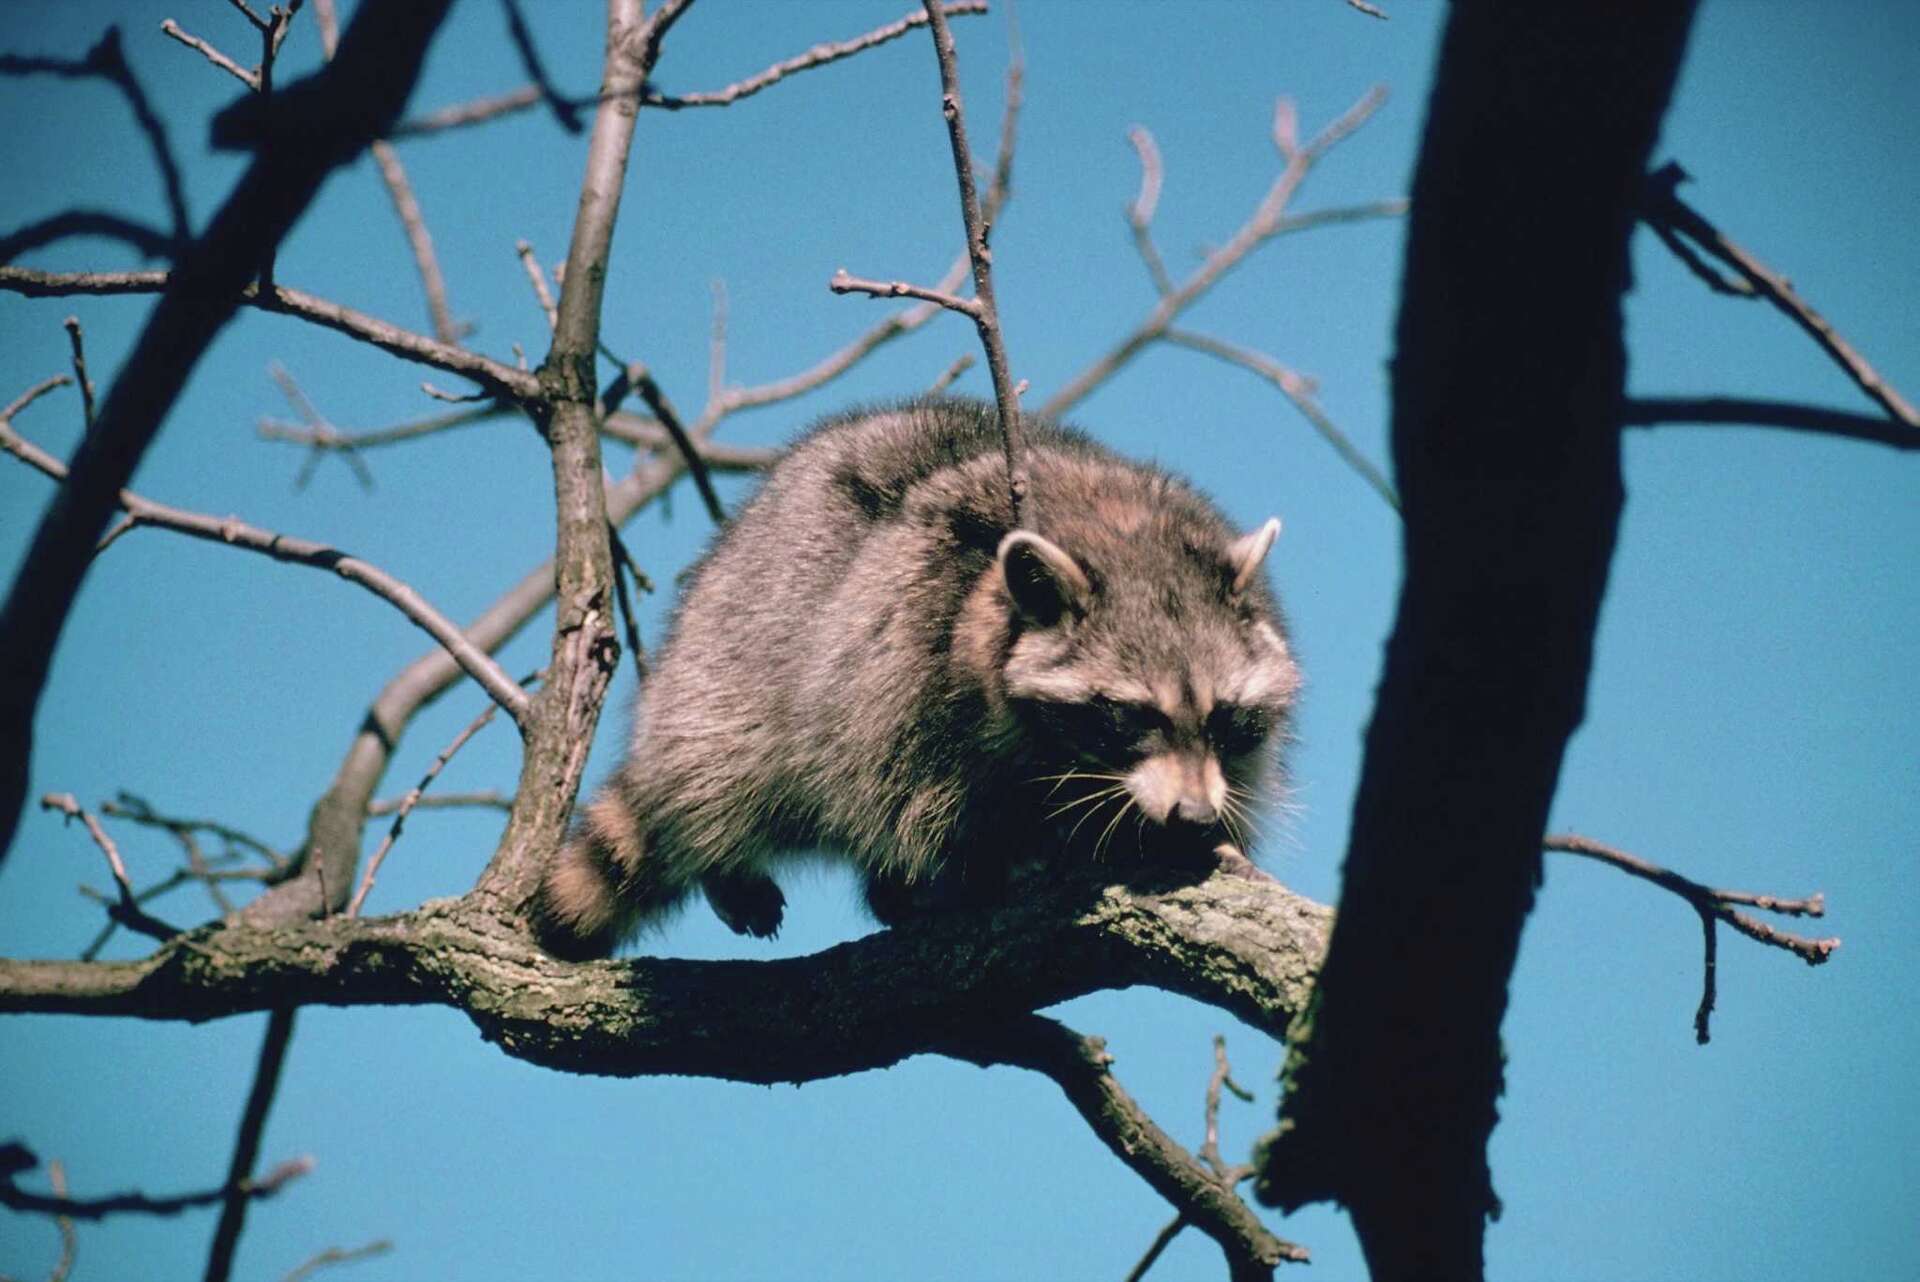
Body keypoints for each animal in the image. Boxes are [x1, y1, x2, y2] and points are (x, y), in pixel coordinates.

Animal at [532, 397, 1299, 959]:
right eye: (1135, 715)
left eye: (1224, 716)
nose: (1192, 814)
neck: (1120, 527)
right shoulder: (904, 660)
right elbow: (905, 801)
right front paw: (997, 862)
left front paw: (1195, 836)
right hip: (738, 638)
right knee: (728, 757)